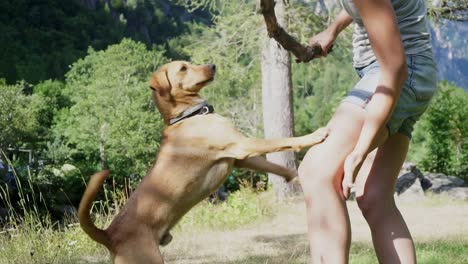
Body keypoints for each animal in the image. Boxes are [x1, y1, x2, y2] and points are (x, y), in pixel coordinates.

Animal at [77, 60, 330, 262]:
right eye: (183, 68)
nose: (212, 65)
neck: (187, 116)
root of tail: (109, 234)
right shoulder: (242, 145)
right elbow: (282, 141)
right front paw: (314, 135)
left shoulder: (238, 158)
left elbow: (273, 165)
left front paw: (293, 176)